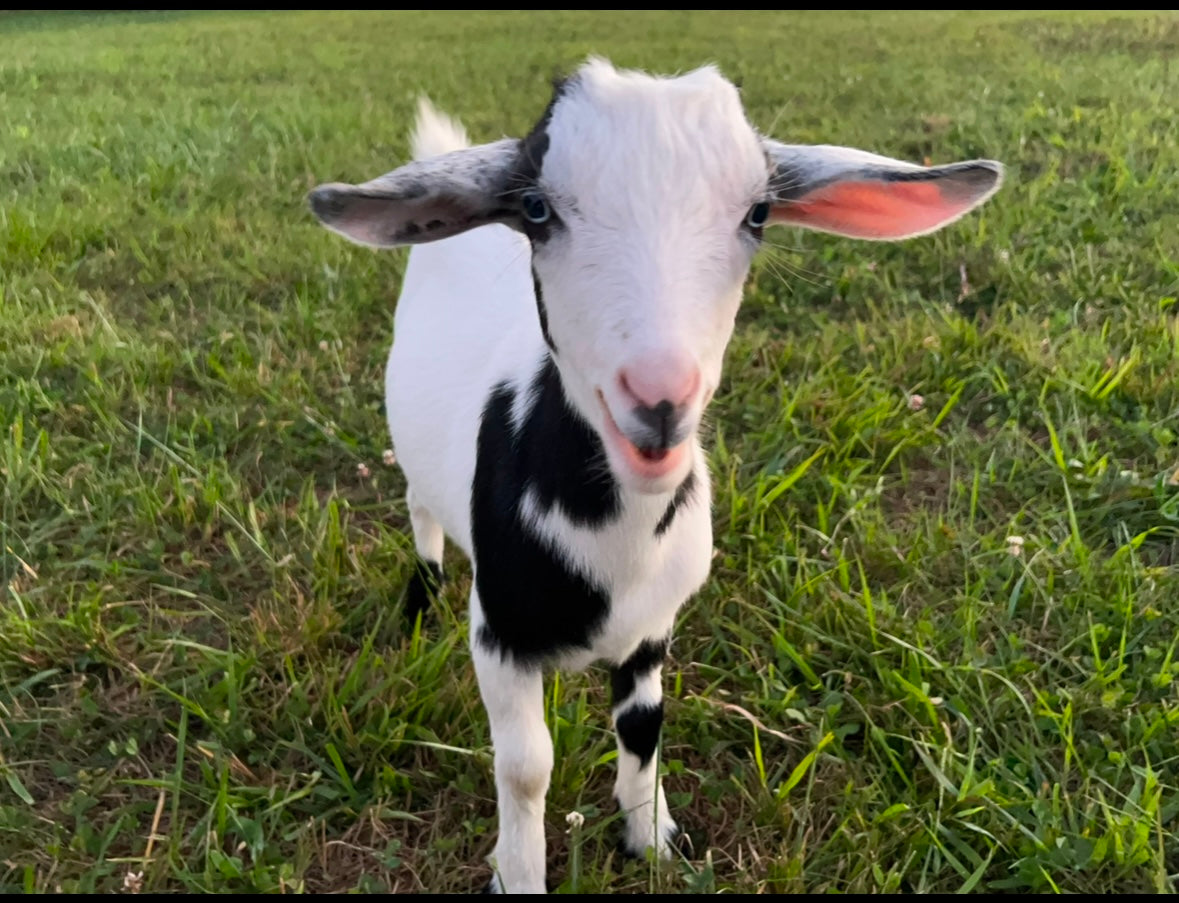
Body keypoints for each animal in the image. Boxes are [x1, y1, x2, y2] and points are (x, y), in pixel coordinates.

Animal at [306, 60, 1004, 895]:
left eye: (758, 214)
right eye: (537, 209)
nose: (659, 397)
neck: (615, 540)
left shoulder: (653, 628)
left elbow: (643, 727)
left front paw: (651, 838)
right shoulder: (498, 634)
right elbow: (525, 767)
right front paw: (519, 870)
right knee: (419, 508)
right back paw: (418, 596)